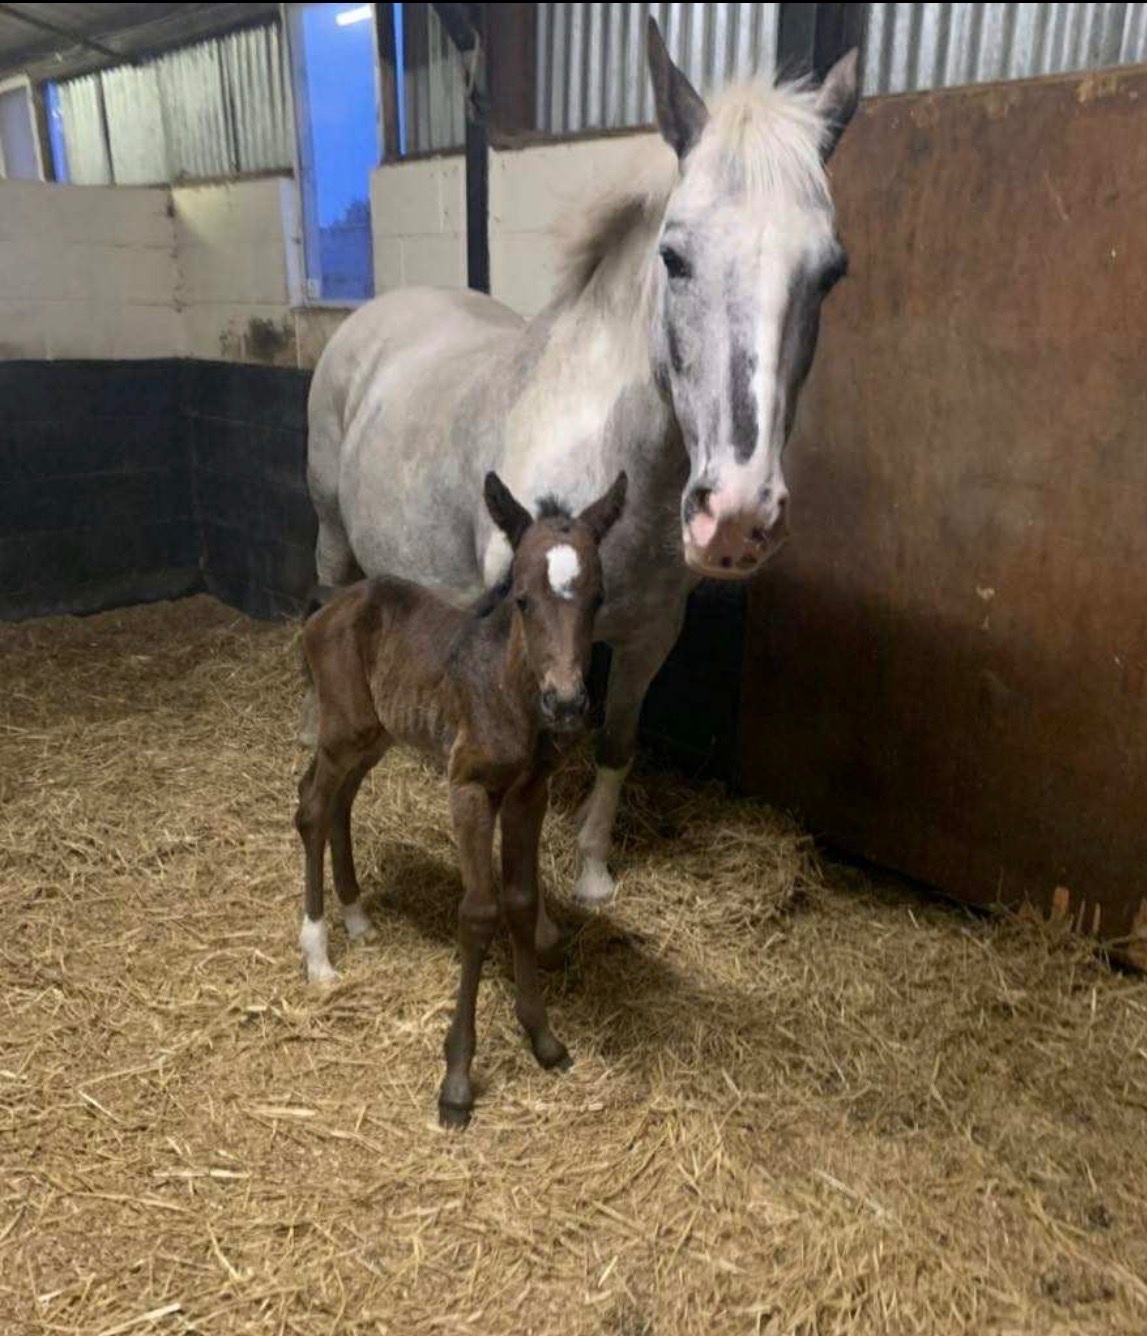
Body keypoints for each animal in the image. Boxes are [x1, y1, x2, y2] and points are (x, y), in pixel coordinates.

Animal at [296, 471, 628, 1126]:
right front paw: (456, 1080)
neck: (508, 688)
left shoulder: (529, 794)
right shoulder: (470, 790)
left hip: (374, 735)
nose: (567, 703)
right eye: (522, 598)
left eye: (598, 598)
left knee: (335, 802)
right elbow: (479, 913)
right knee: (313, 810)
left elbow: (522, 901)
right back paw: (318, 952)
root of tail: (330, 604)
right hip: (343, 729)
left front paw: (543, 1038)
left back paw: (357, 918)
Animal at [304, 19, 859, 932]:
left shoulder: (649, 634)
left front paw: (593, 871)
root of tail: (376, 316)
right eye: (673, 256)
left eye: (830, 271)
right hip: (330, 534)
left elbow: (615, 742)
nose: (736, 516)